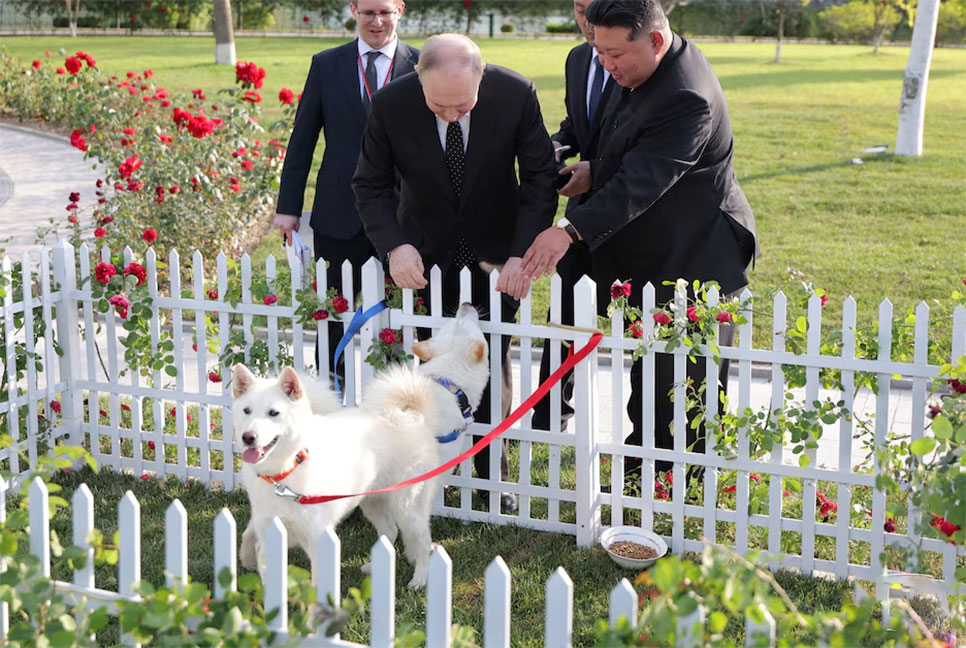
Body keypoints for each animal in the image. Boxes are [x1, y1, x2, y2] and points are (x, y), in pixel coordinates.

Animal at [233, 302, 492, 588]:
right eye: (460, 321)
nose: (466, 305)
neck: (445, 382)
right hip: (386, 501)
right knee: (399, 531)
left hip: (387, 502)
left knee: (408, 536)